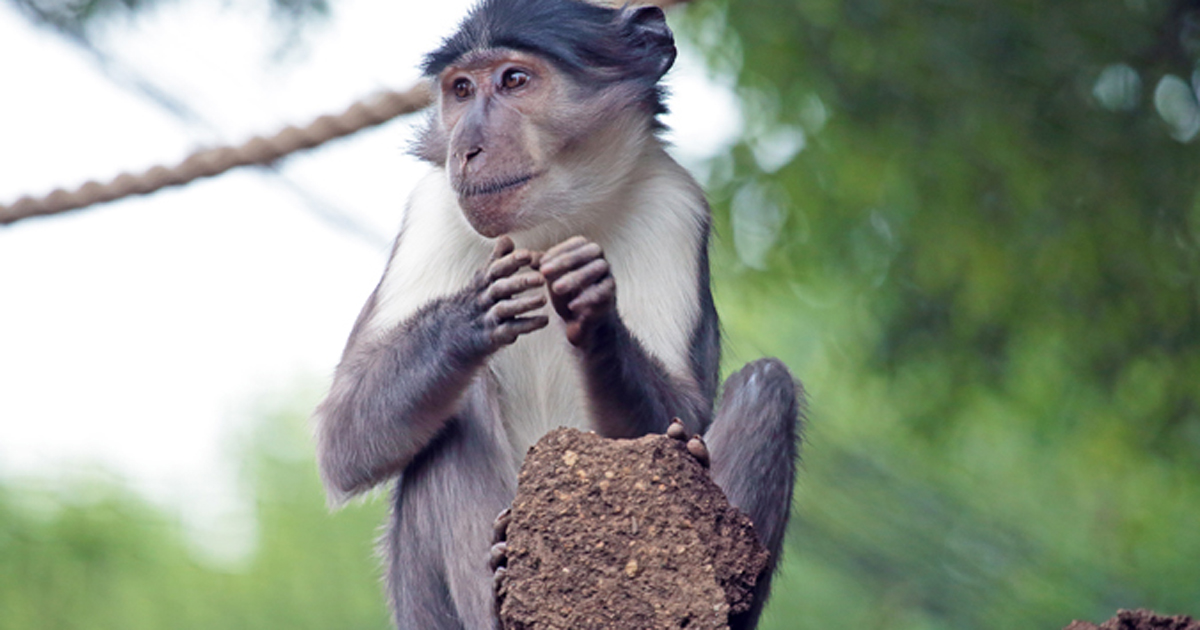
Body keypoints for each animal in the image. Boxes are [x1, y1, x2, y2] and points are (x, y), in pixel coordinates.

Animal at [312, 1, 806, 628]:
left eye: (514, 80)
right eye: (461, 89)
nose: (467, 148)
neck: (551, 218)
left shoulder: (674, 204)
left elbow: (682, 415)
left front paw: (597, 319)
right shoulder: (435, 206)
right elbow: (342, 436)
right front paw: (474, 313)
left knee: (768, 384)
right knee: (458, 411)